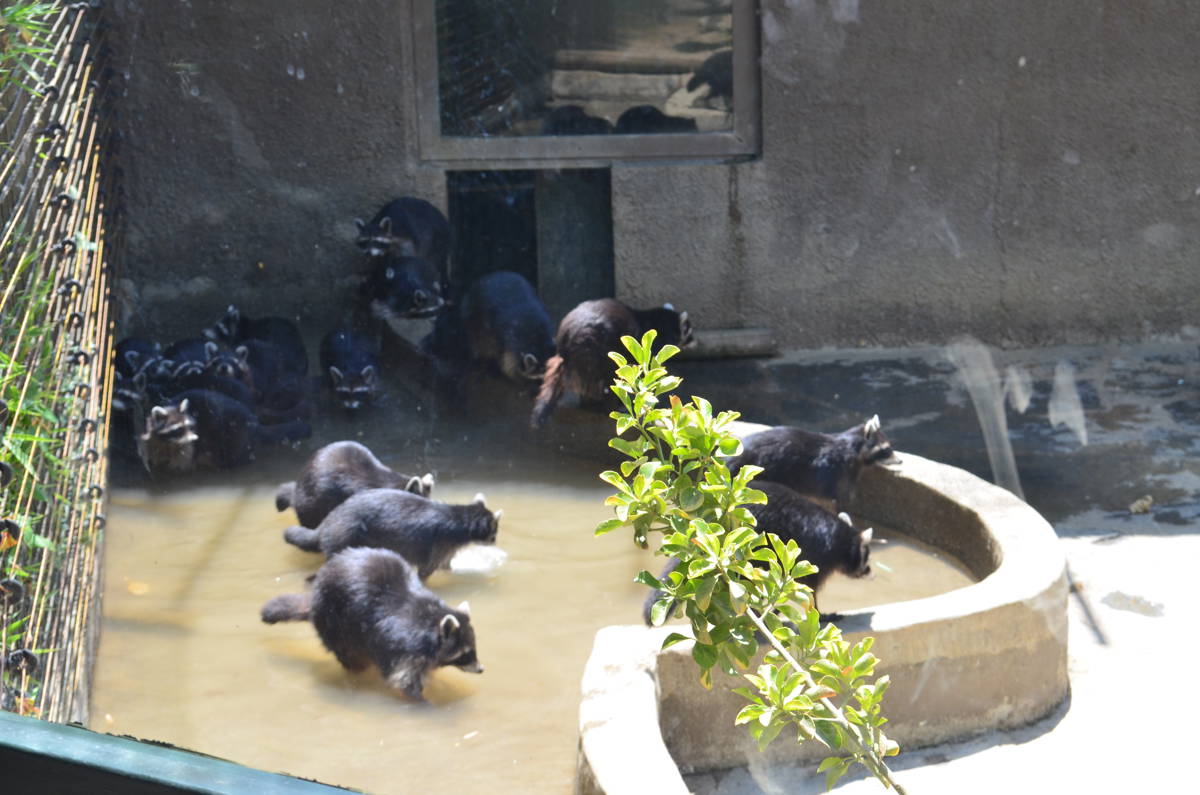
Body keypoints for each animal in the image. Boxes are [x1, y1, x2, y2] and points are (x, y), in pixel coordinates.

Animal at [261, 546, 482, 701]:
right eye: (465, 653)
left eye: (473, 649)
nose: (481, 669)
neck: (431, 621)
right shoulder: (401, 645)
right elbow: (403, 680)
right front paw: (422, 701)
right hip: (335, 620)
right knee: (348, 652)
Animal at [282, 489, 500, 579]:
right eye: (494, 532)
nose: (496, 542)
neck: (461, 517)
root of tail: (332, 516)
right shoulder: (438, 546)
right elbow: (425, 572)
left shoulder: (446, 551)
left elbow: (446, 566)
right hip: (344, 536)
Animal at [531, 298, 694, 428]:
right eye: (689, 330)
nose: (695, 342)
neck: (657, 320)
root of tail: (565, 343)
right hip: (594, 351)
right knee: (605, 377)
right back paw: (609, 405)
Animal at [643, 480, 873, 623]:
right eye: (866, 557)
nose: (870, 572)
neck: (842, 537)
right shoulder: (816, 557)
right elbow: (810, 590)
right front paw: (819, 613)